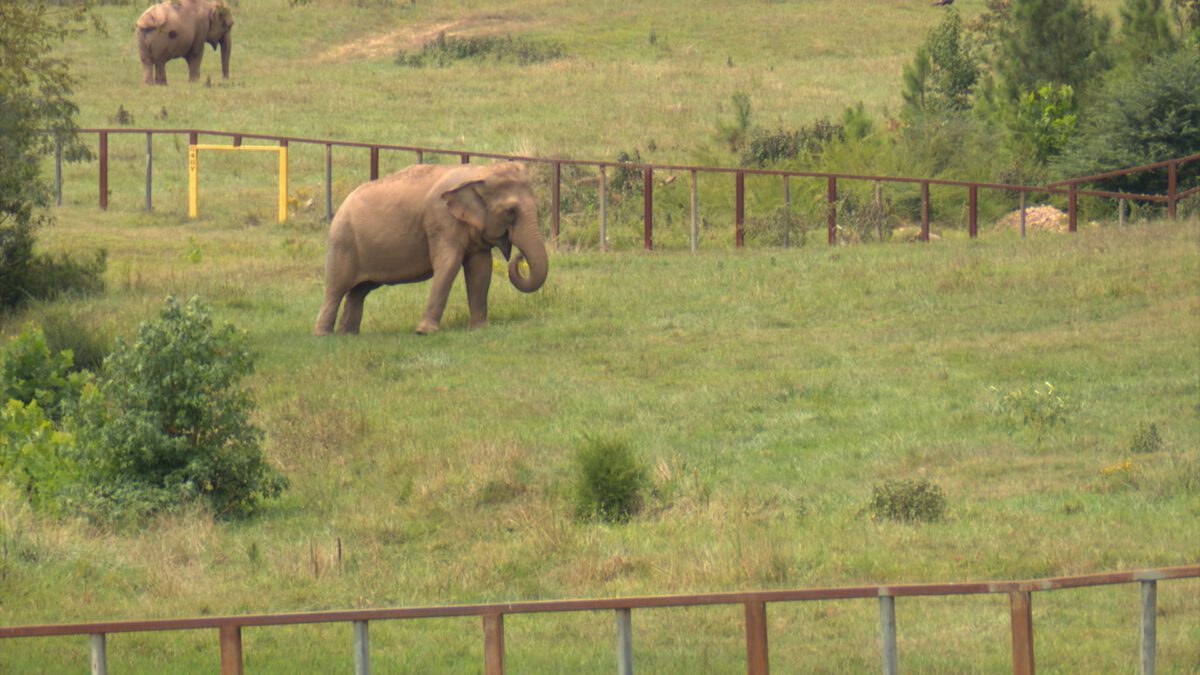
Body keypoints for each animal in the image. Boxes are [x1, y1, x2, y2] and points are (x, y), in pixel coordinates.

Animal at [314, 162, 549, 336]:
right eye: (510, 211)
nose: (518, 256)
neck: (478, 171)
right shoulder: (440, 219)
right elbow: (448, 264)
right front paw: (425, 332)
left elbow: (481, 269)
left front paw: (480, 329)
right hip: (343, 243)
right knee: (336, 288)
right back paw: (324, 335)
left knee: (358, 292)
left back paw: (348, 335)